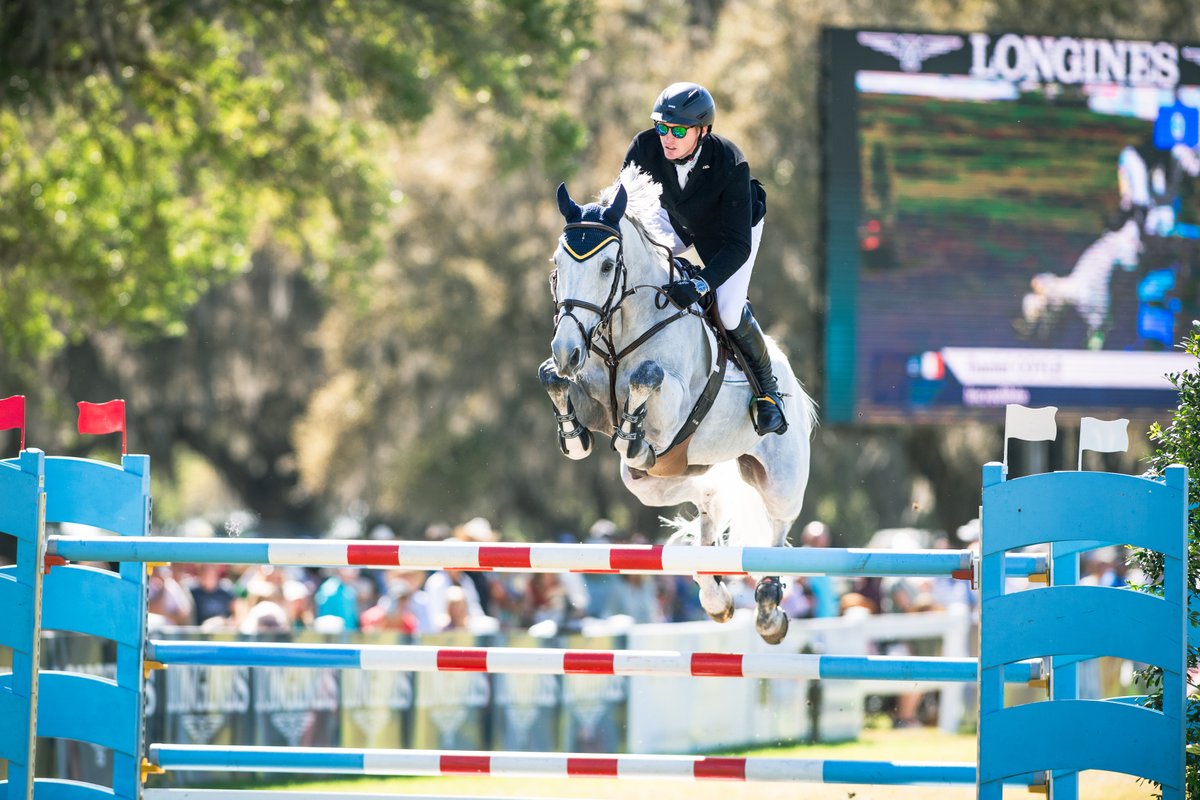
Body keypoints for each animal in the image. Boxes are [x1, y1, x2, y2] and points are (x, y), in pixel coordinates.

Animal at [538, 165, 818, 645]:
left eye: (607, 266)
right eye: (558, 265)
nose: (567, 350)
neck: (621, 330)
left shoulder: (673, 410)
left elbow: (646, 376)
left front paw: (631, 434)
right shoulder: (593, 400)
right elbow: (552, 379)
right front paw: (573, 436)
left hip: (782, 478)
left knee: (777, 530)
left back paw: (767, 609)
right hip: (655, 480)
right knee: (708, 500)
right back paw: (716, 596)